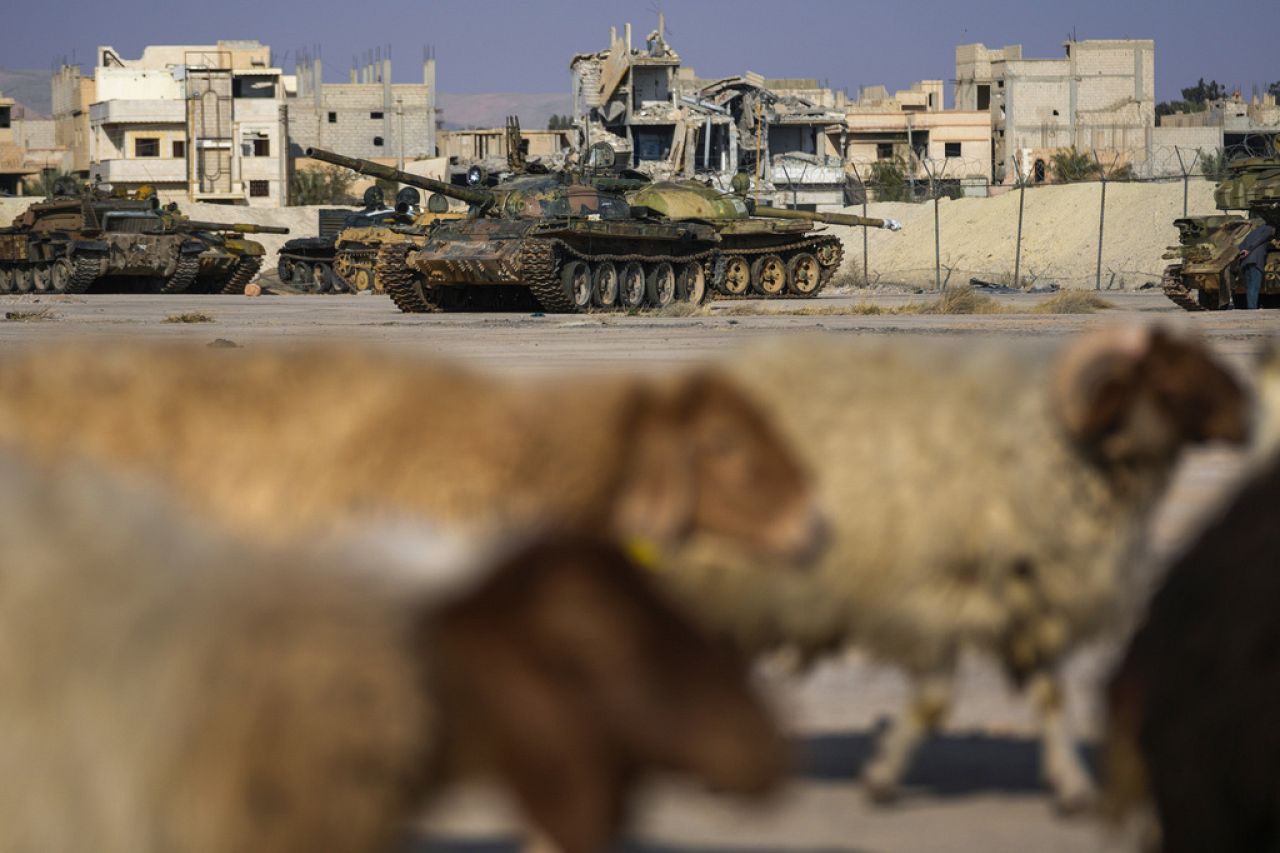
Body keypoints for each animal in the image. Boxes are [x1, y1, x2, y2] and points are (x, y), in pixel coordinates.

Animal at [670, 325, 1249, 809]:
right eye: (1169, 377)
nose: (1246, 417)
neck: (1046, 454)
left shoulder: (1025, 599)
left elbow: (1051, 696)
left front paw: (1073, 786)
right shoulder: (930, 598)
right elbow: (933, 704)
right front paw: (881, 777)